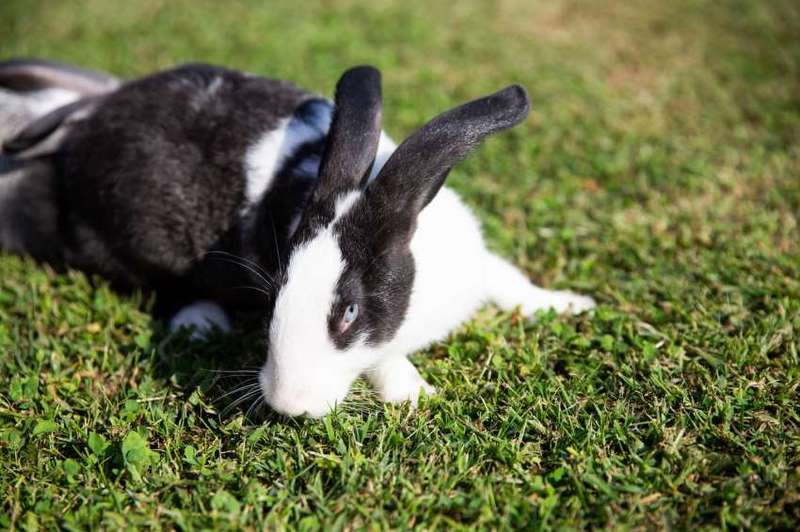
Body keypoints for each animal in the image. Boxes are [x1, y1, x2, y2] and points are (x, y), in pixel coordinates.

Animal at [0, 59, 595, 418]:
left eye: (349, 312)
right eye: (275, 297)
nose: (288, 404)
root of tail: (85, 120)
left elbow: (512, 281)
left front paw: (570, 304)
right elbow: (383, 359)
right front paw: (416, 394)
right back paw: (202, 322)